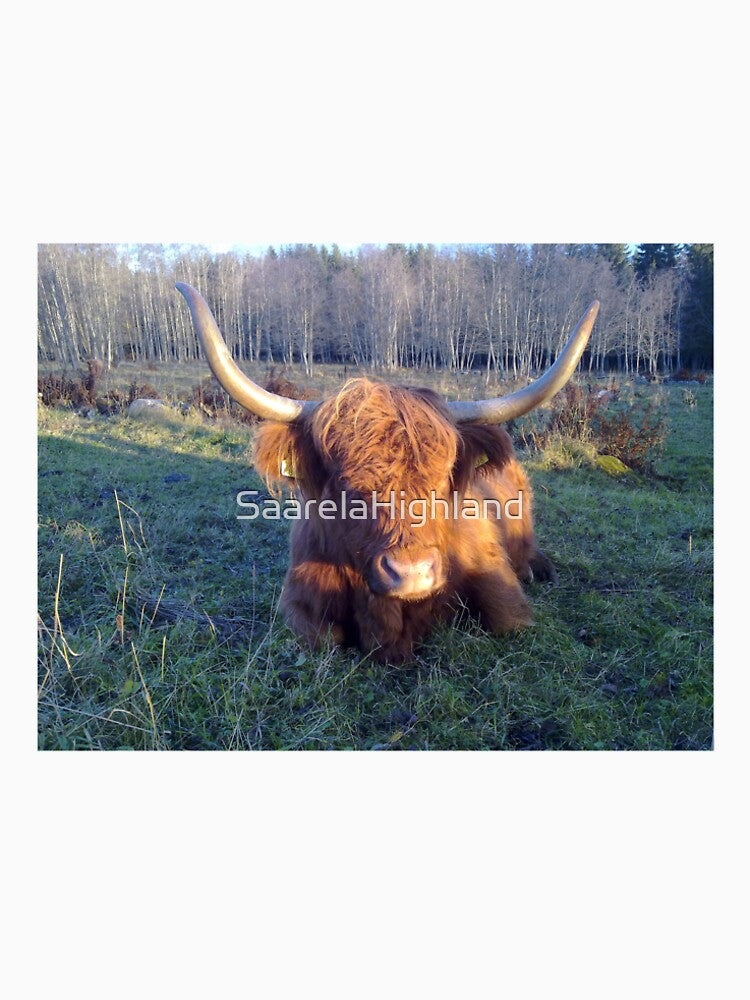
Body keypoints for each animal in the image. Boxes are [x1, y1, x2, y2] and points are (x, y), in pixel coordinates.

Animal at [176, 283, 600, 663]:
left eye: (443, 478)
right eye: (345, 483)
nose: (411, 573)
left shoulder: (502, 590)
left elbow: (506, 622)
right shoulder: (300, 601)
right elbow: (323, 639)